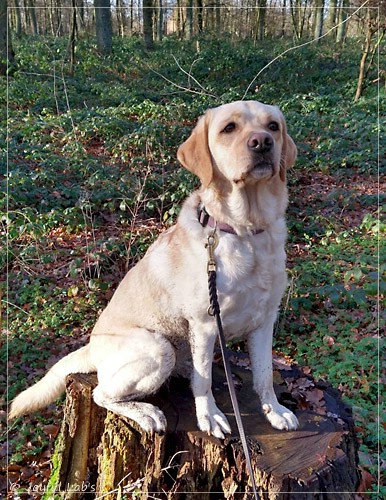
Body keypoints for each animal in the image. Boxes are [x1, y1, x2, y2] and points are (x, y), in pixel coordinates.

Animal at [9, 100, 298, 438]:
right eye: (229, 128)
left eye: (273, 126)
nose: (262, 142)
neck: (245, 232)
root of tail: (91, 347)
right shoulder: (205, 323)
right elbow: (203, 382)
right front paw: (209, 416)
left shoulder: (265, 319)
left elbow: (264, 374)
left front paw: (274, 410)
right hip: (159, 348)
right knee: (103, 393)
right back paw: (146, 412)